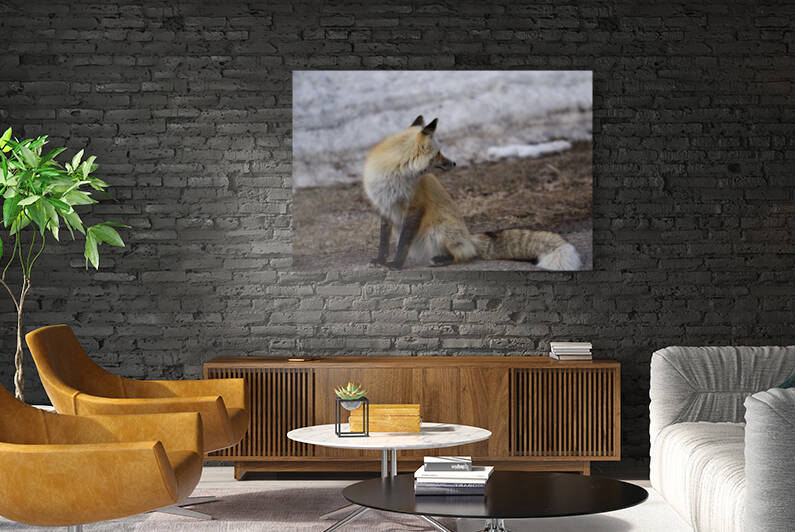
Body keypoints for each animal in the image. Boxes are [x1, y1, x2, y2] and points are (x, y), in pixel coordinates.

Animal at [362, 115, 582, 271]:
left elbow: (403, 244)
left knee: (464, 255)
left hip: (439, 229)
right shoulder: (384, 206)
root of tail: (469, 236)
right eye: (438, 153)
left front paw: (396, 265)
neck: (393, 176)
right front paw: (381, 260)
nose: (454, 163)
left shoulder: (415, 207)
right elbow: (384, 241)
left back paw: (441, 259)